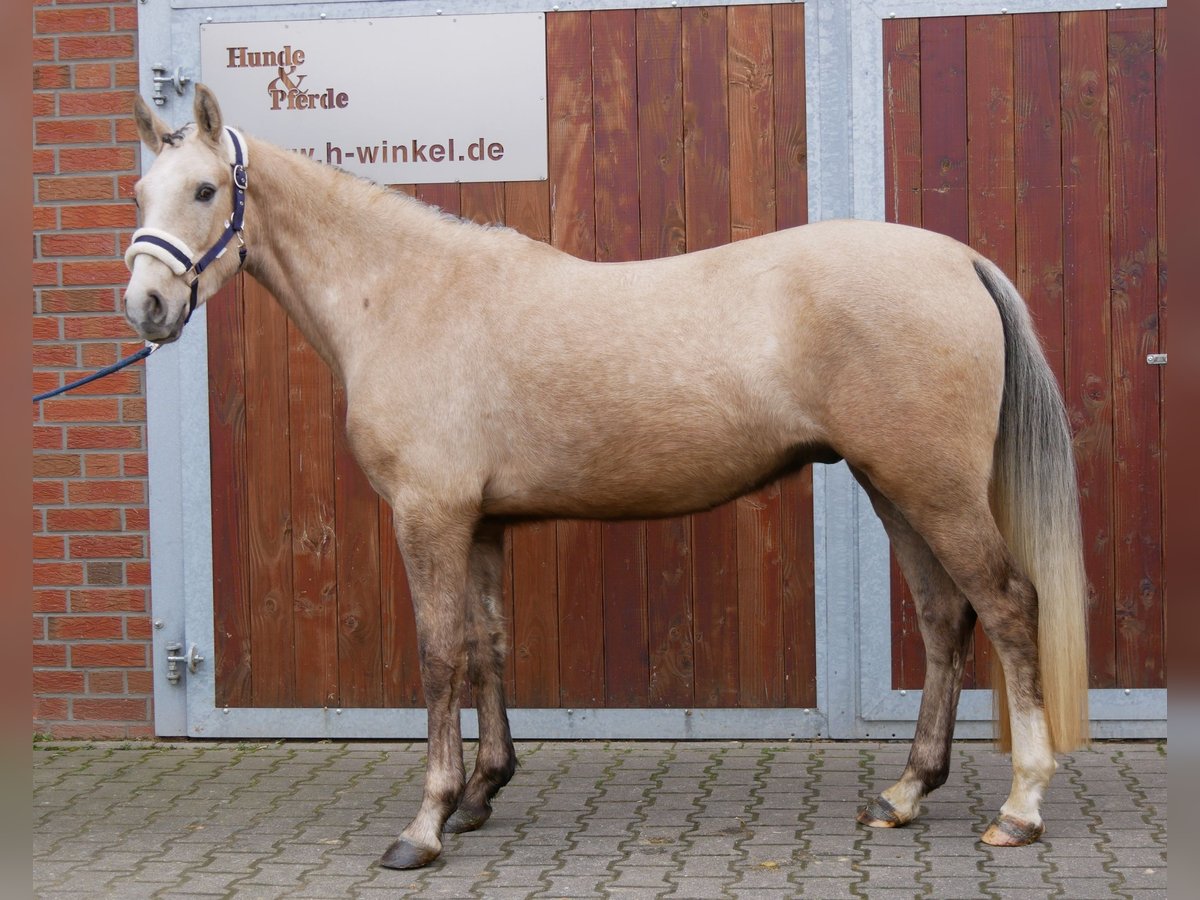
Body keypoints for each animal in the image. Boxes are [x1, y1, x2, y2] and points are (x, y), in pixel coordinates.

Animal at [126, 86, 1094, 873]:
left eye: (205, 190)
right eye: (140, 194)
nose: (146, 308)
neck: (407, 295)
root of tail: (959, 260)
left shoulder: (429, 515)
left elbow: (439, 657)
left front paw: (426, 825)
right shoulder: (481, 524)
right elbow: (488, 646)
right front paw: (482, 794)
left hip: (933, 487)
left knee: (1009, 606)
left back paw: (1020, 807)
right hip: (894, 485)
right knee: (944, 617)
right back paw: (905, 792)